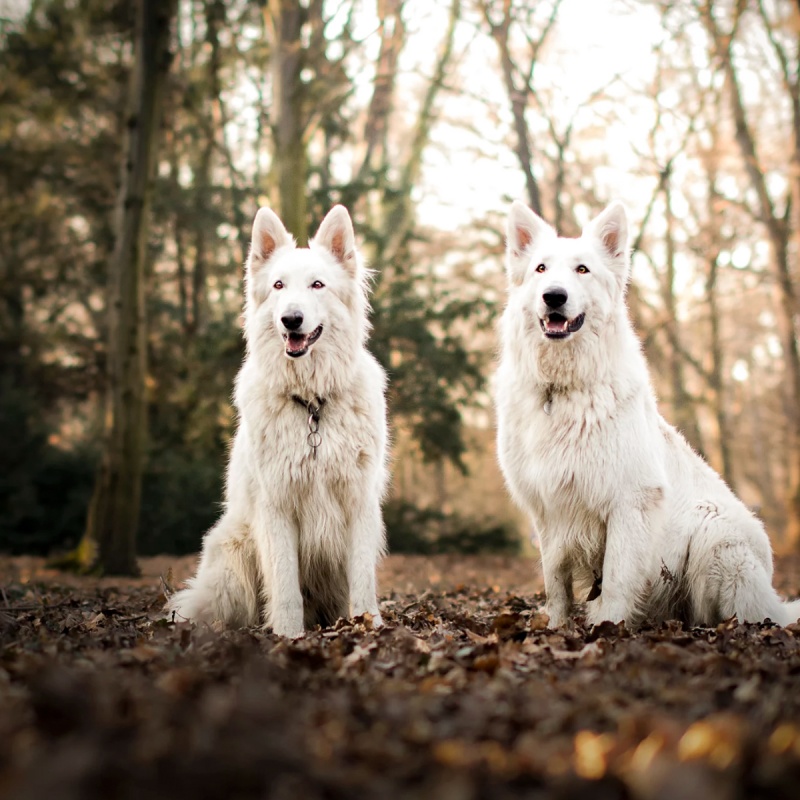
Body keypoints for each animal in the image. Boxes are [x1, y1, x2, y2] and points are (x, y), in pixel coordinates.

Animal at [170, 205, 390, 636]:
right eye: (278, 285)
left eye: (318, 285)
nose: (291, 319)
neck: (312, 404)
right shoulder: (277, 506)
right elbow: (286, 584)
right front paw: (289, 635)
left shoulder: (359, 502)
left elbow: (362, 580)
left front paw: (366, 626)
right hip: (234, 553)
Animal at [494, 202, 800, 632]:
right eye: (540, 268)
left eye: (582, 270)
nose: (553, 296)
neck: (563, 388)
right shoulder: (548, 509)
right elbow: (555, 583)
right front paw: (556, 627)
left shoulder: (631, 500)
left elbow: (617, 577)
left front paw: (608, 627)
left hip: (713, 530)